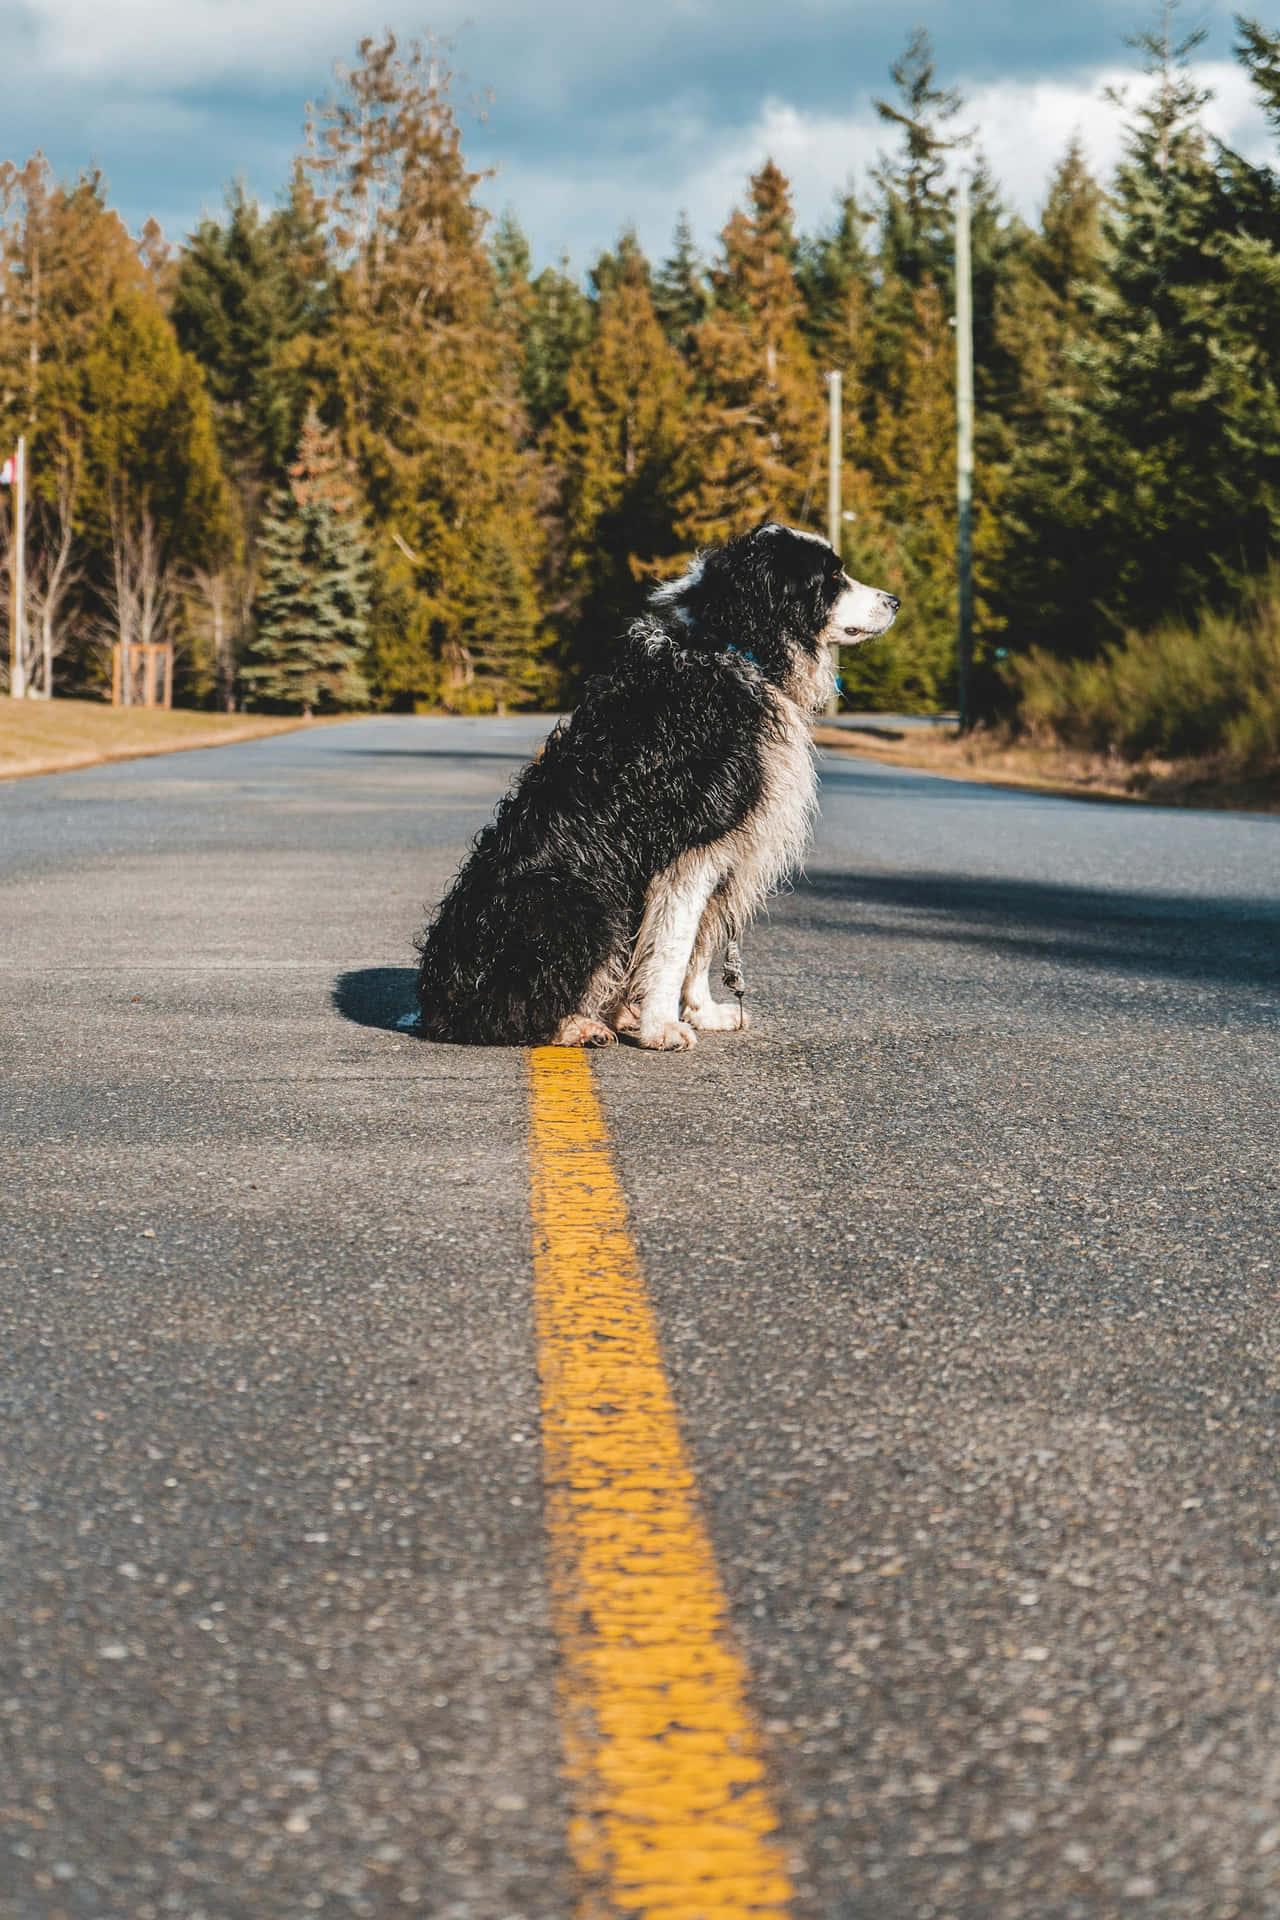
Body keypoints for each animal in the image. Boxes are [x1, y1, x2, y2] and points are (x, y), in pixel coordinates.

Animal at [416, 526, 898, 1052]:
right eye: (831, 576)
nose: (894, 600)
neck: (733, 644)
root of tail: (435, 1003)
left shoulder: (725, 847)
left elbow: (700, 947)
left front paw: (703, 1012)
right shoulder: (691, 846)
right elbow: (674, 945)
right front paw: (662, 1026)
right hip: (579, 902)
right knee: (503, 1013)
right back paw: (578, 1025)